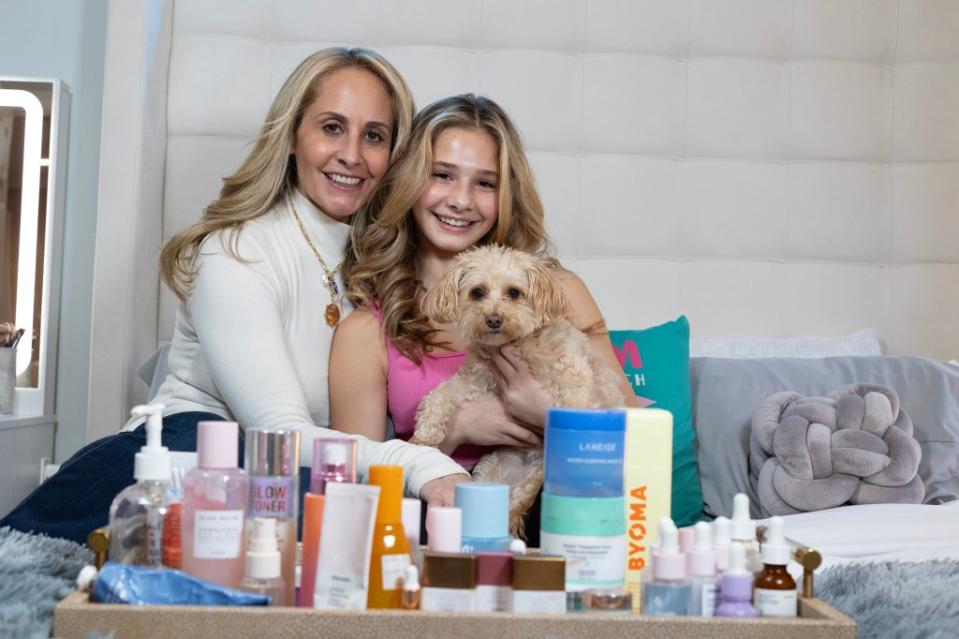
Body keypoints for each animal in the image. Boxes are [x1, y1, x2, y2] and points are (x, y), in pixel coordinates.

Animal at [408, 246, 628, 540]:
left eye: (514, 292)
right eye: (477, 292)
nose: (493, 319)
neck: (518, 344)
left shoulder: (574, 379)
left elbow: (578, 408)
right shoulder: (476, 378)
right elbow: (442, 394)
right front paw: (426, 431)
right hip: (491, 473)